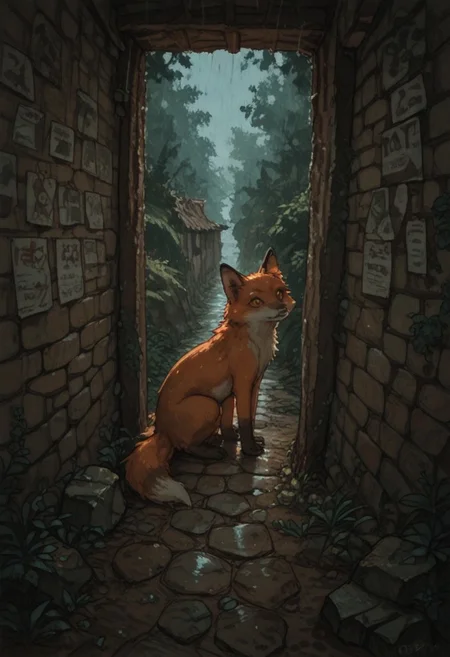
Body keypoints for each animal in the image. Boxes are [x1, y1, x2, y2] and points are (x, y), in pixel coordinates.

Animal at [125, 248, 296, 506]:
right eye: (256, 301)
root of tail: (159, 429)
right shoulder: (242, 384)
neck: (256, 344)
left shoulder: (251, 385)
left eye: (279, 292)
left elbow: (242, 416)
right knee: (183, 446)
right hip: (207, 405)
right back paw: (210, 451)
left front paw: (234, 437)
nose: (281, 307)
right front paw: (249, 449)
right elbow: (245, 420)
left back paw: (213, 440)